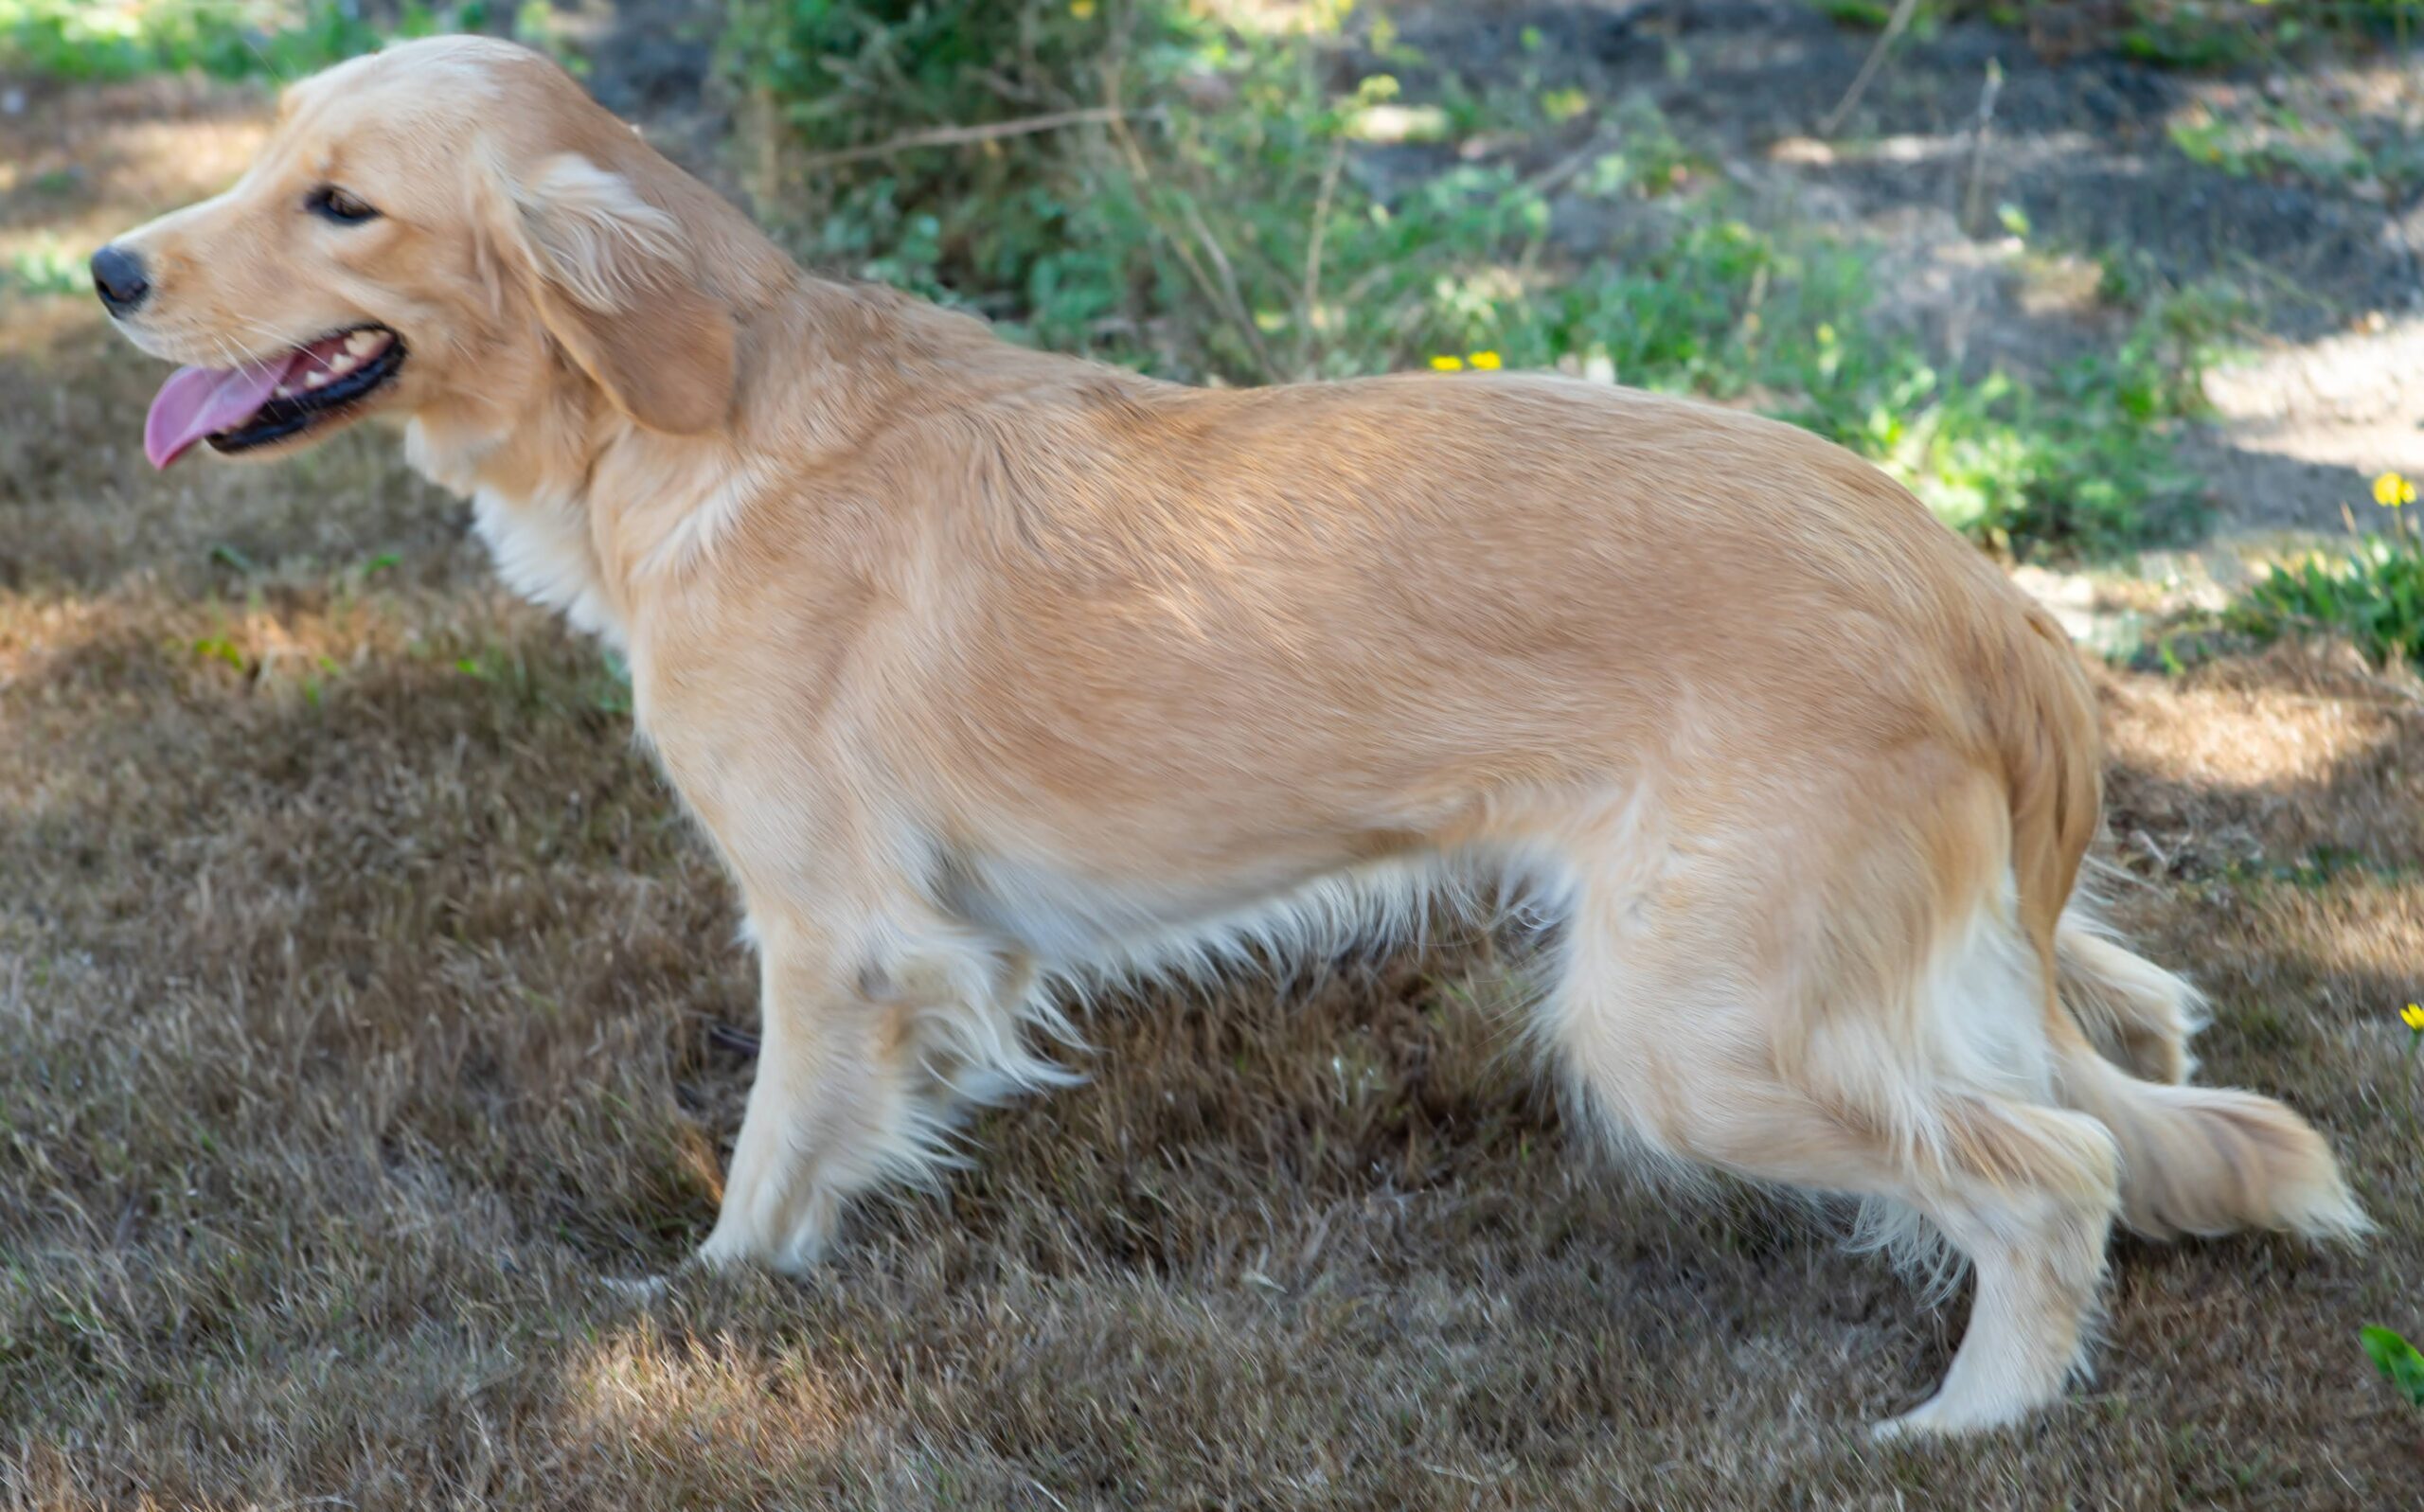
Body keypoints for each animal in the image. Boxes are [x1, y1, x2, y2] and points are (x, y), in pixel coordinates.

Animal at [98, 32, 2365, 1424]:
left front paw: (715, 1305)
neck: (698, 417)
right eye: (265, 165)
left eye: (339, 204)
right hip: (1919, 975)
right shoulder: (940, 946)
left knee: (2057, 1171)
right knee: (2156, 1045)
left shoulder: (835, 934)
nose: (106, 263)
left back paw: (1968, 1418)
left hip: (1686, 1032)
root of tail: (1971, 591)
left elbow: (766, 1159)